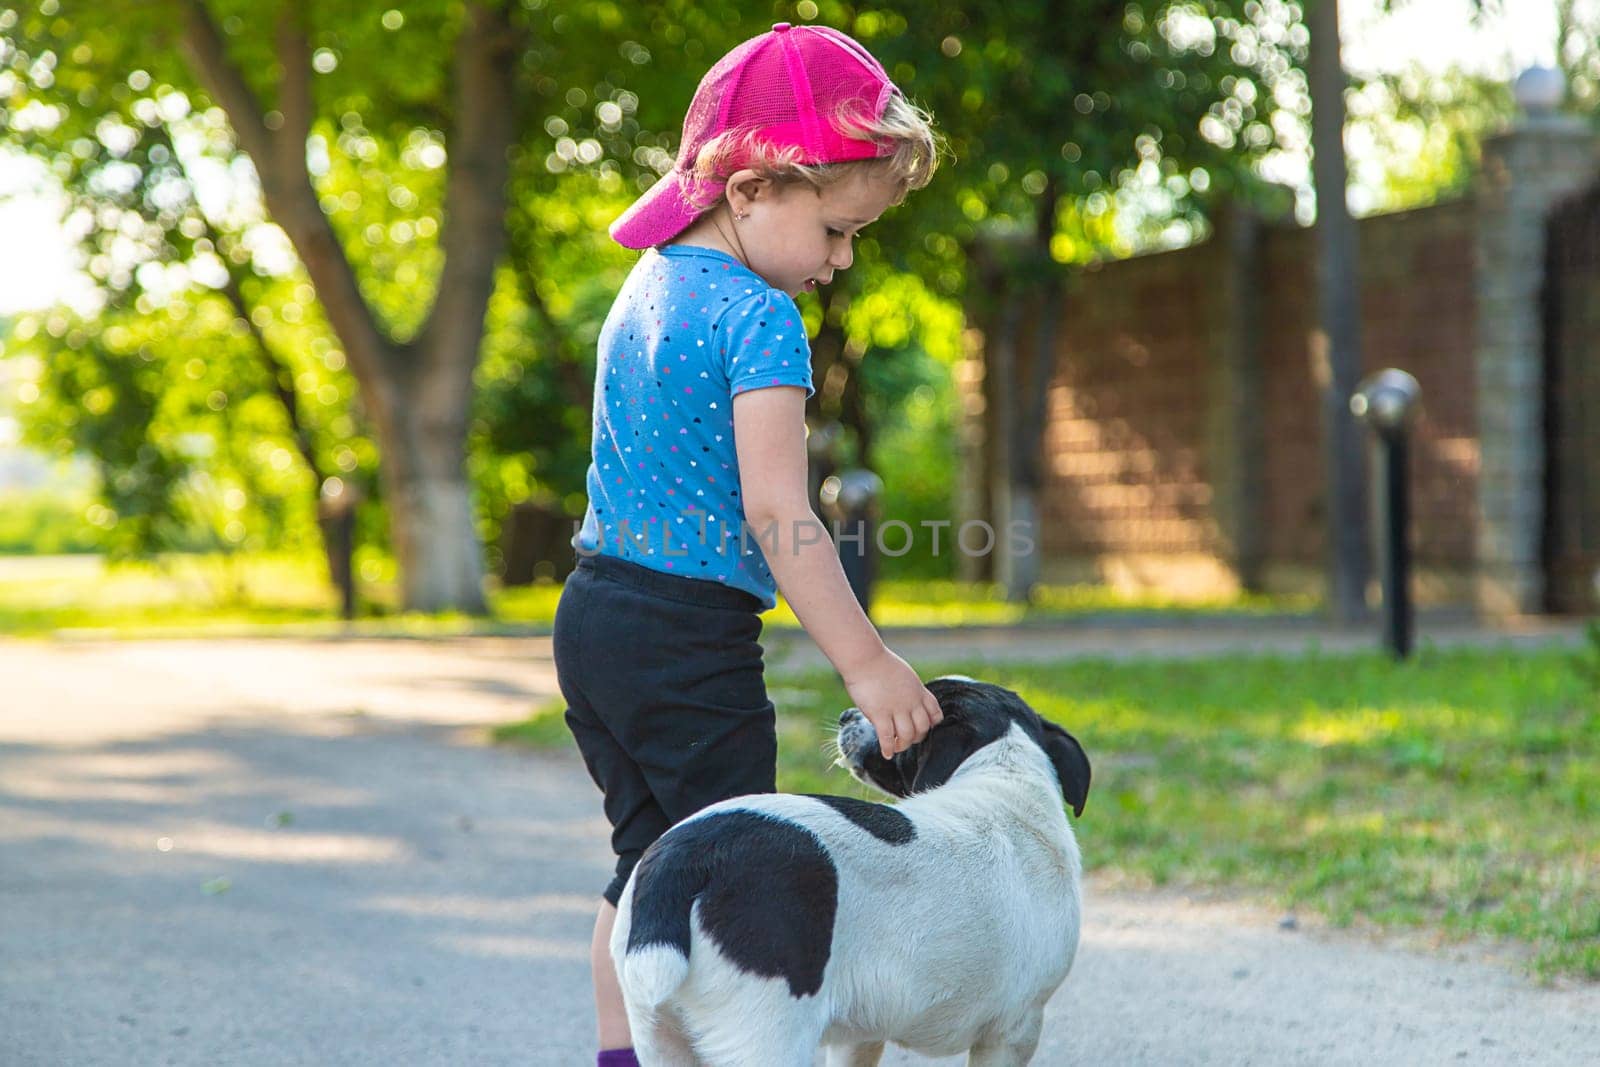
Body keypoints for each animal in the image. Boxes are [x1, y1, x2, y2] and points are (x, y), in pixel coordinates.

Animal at [608, 681, 1088, 1062]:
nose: (848, 713)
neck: (1003, 775)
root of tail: (689, 855)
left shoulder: (859, 1038)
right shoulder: (1012, 1032)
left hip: (659, 1036)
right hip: (769, 1038)